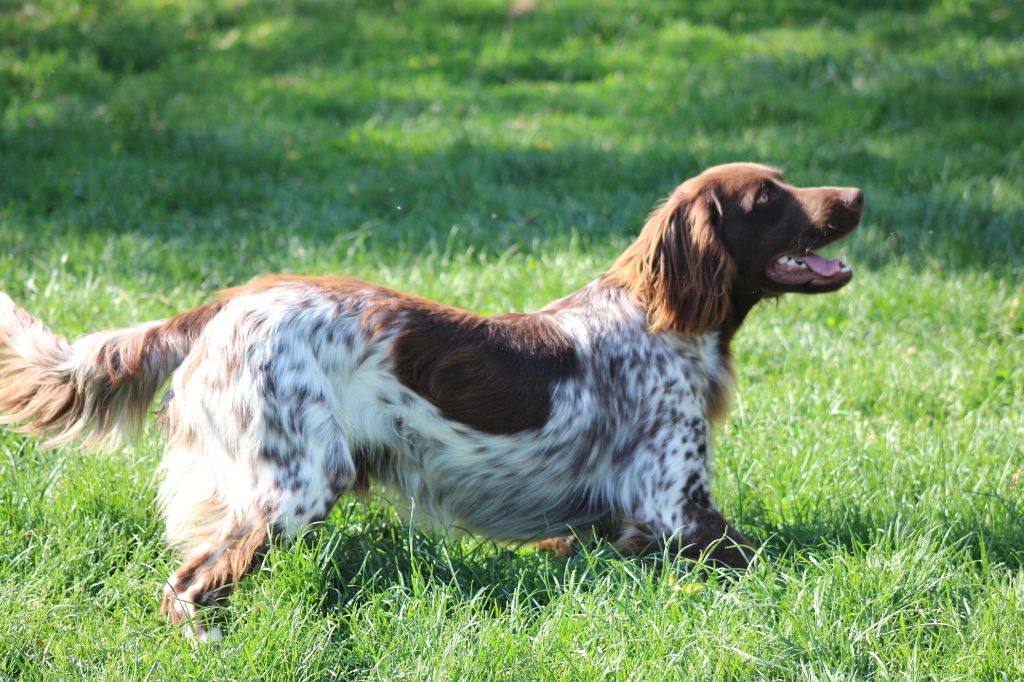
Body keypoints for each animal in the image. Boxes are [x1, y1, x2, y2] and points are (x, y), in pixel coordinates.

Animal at [0, 160, 864, 638]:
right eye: (766, 199)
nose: (856, 195)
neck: (664, 323)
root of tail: (224, 304)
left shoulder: (605, 527)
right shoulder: (677, 511)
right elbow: (777, 557)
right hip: (296, 488)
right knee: (188, 585)